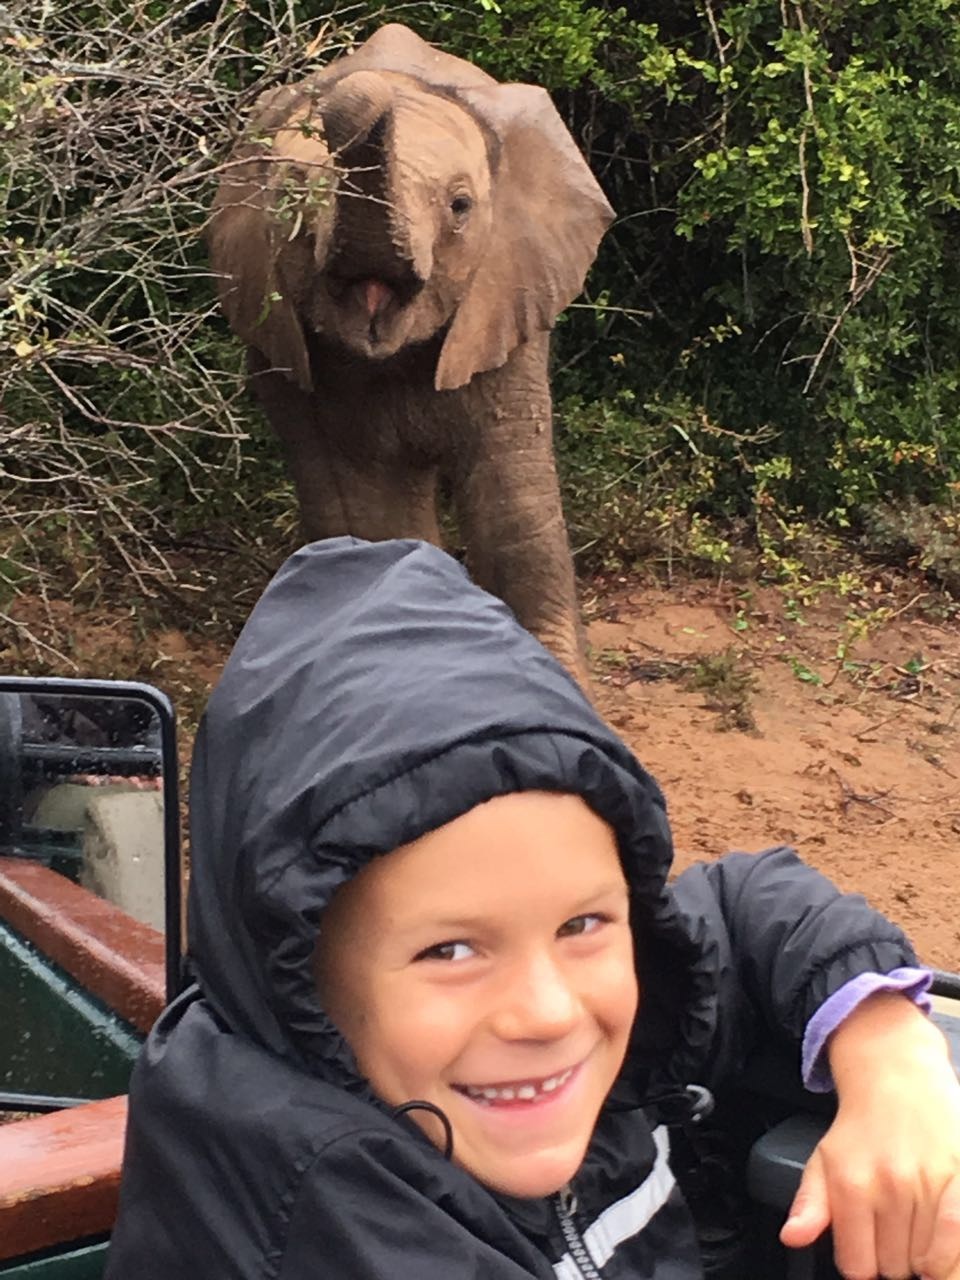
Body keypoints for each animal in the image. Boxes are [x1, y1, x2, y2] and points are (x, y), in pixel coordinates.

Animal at [209, 20, 616, 691]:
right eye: (293, 203)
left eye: (460, 206)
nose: (364, 93)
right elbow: (370, 517)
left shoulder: (507, 304)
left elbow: (513, 517)